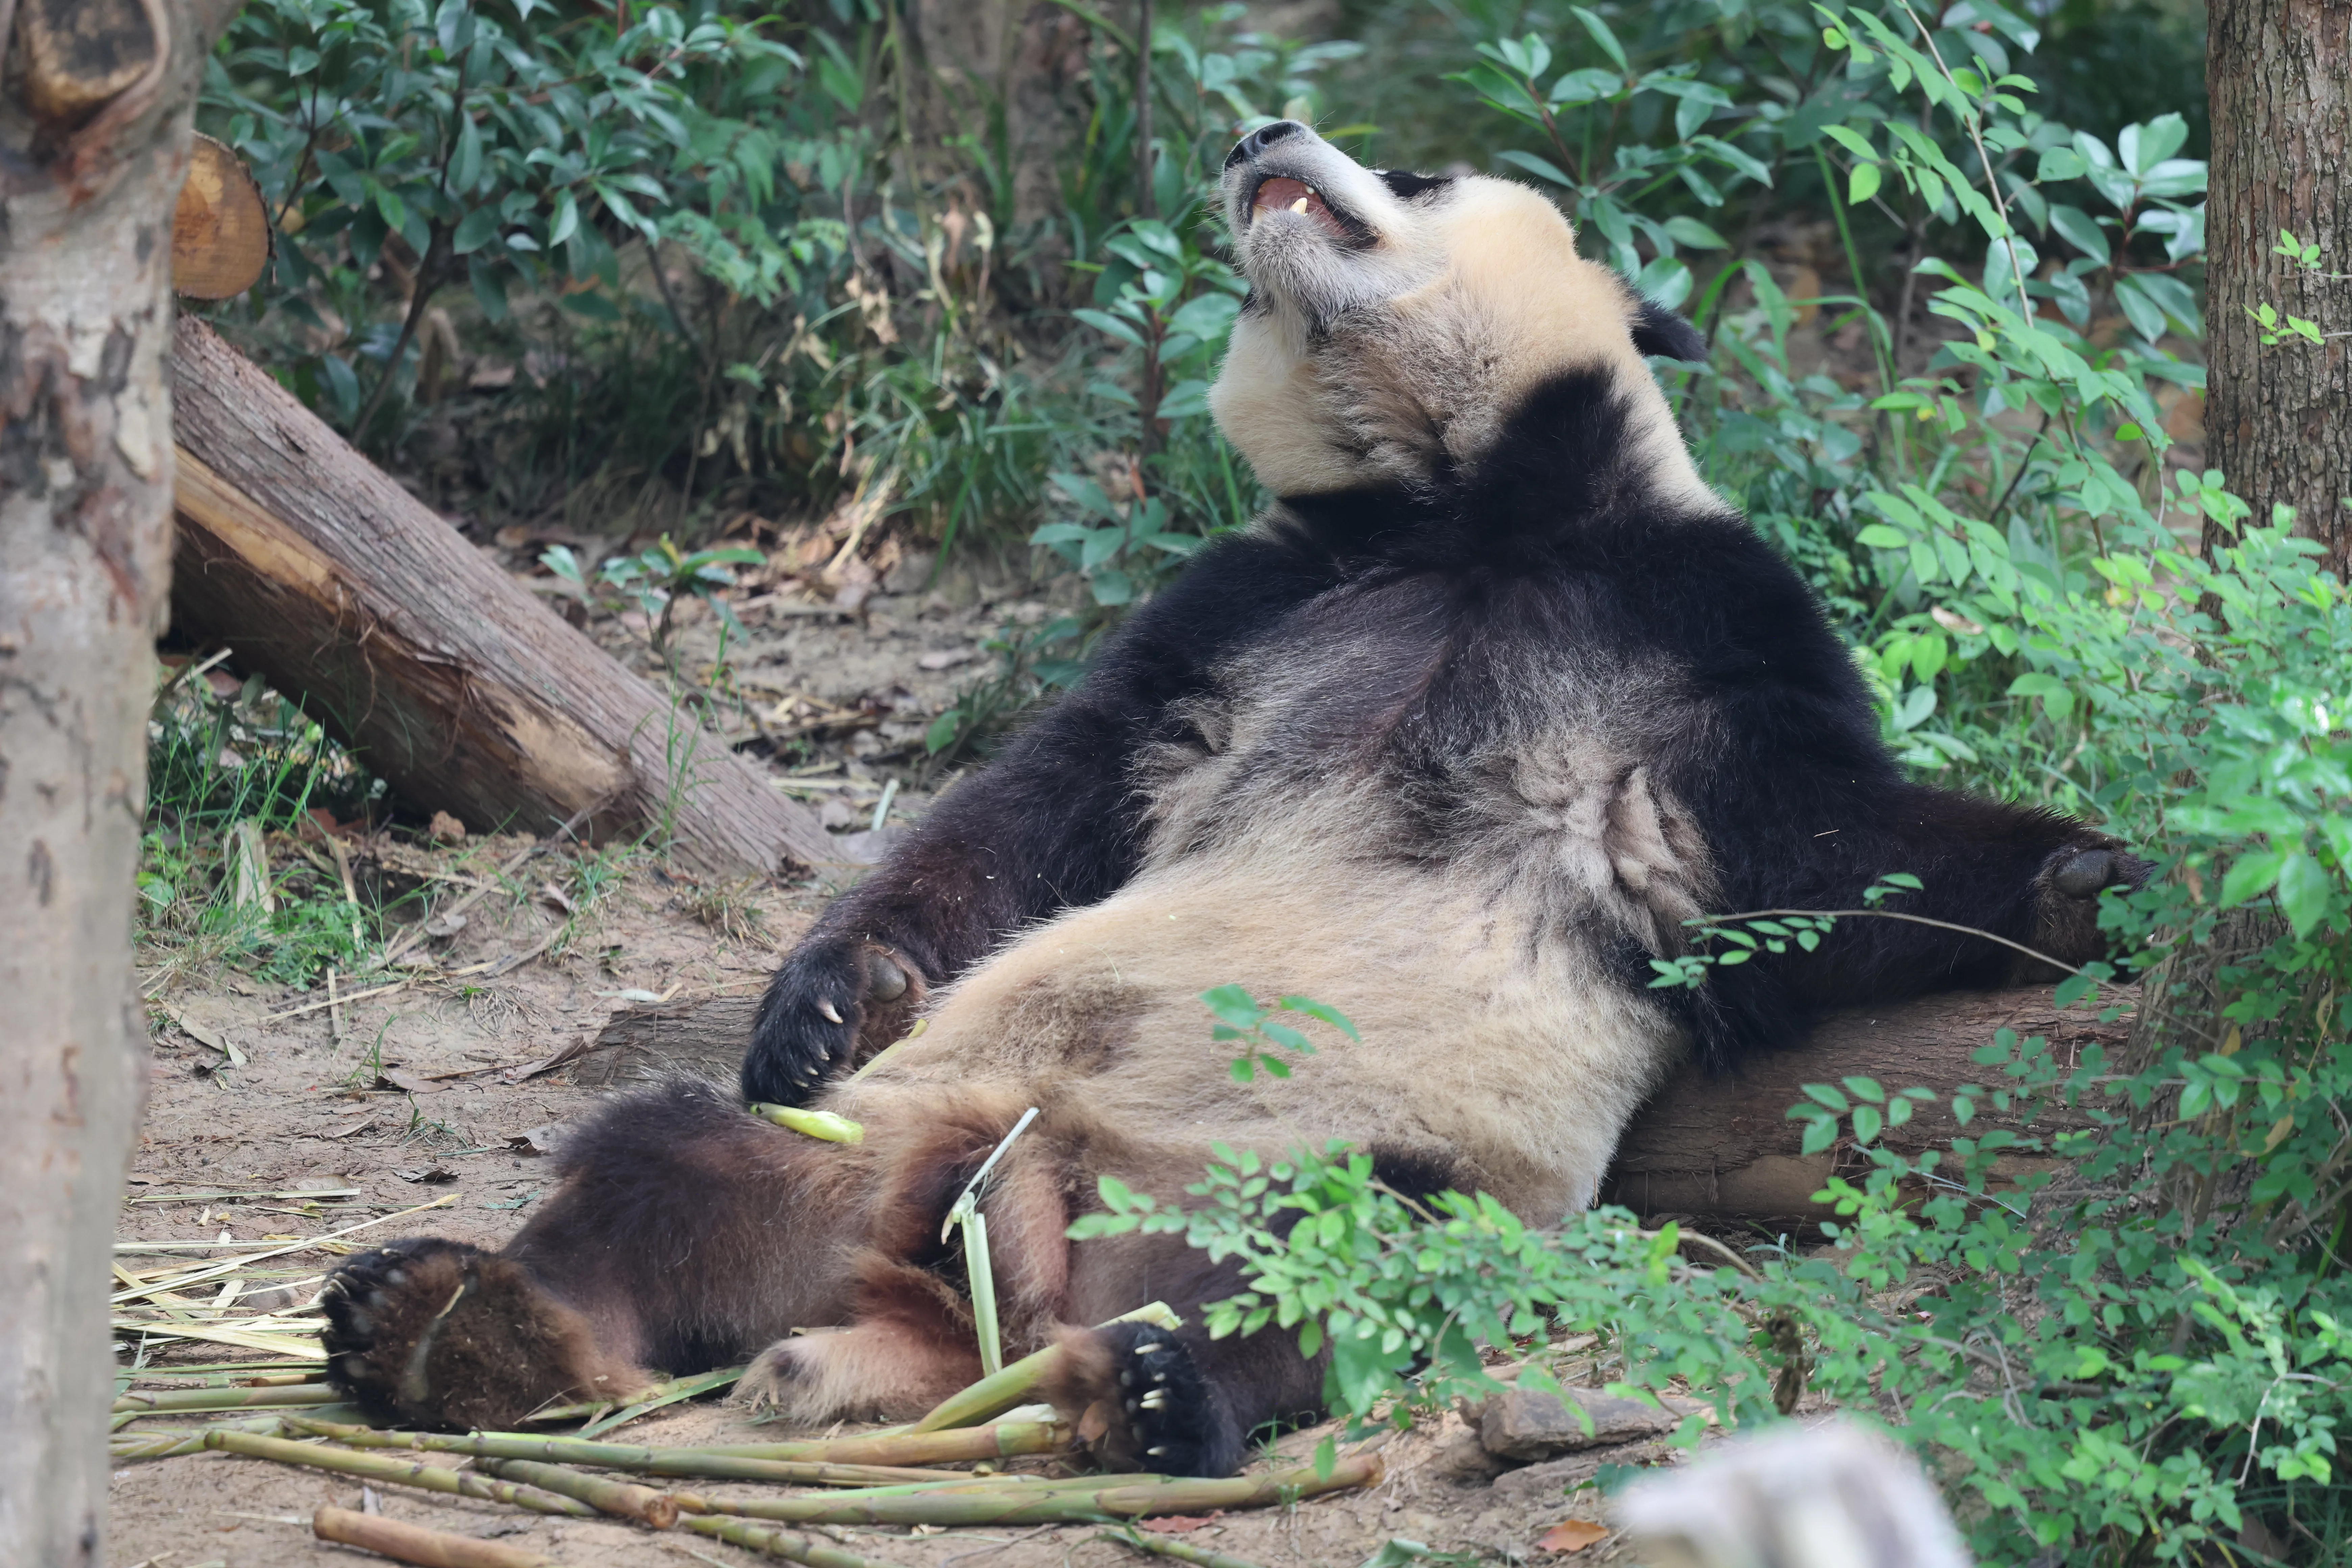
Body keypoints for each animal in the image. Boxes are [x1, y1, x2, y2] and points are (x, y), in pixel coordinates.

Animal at [319, 121, 2140, 1476]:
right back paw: (453, 1324)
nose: (1259, 130)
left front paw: (2089, 879)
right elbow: (1040, 804)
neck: (1456, 502)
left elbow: (1819, 852)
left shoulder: (1692, 618)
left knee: (1333, 1267)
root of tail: (987, 1251)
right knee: (661, 1161)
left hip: (1345, 1161)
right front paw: (828, 997)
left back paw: (1153, 1387)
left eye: (1415, 172)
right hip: (864, 1147)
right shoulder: (1243, 604)